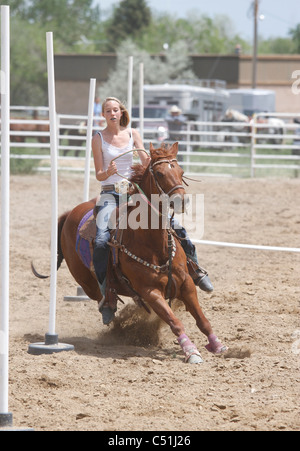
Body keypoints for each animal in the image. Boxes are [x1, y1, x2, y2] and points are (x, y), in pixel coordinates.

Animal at [32, 143, 226, 366]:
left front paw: (218, 345)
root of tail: (70, 213)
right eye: (159, 173)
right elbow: (174, 321)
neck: (153, 244)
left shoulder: (186, 283)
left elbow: (202, 319)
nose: (181, 201)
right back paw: (110, 313)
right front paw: (191, 351)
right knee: (102, 297)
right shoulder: (150, 291)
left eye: (181, 171)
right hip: (87, 284)